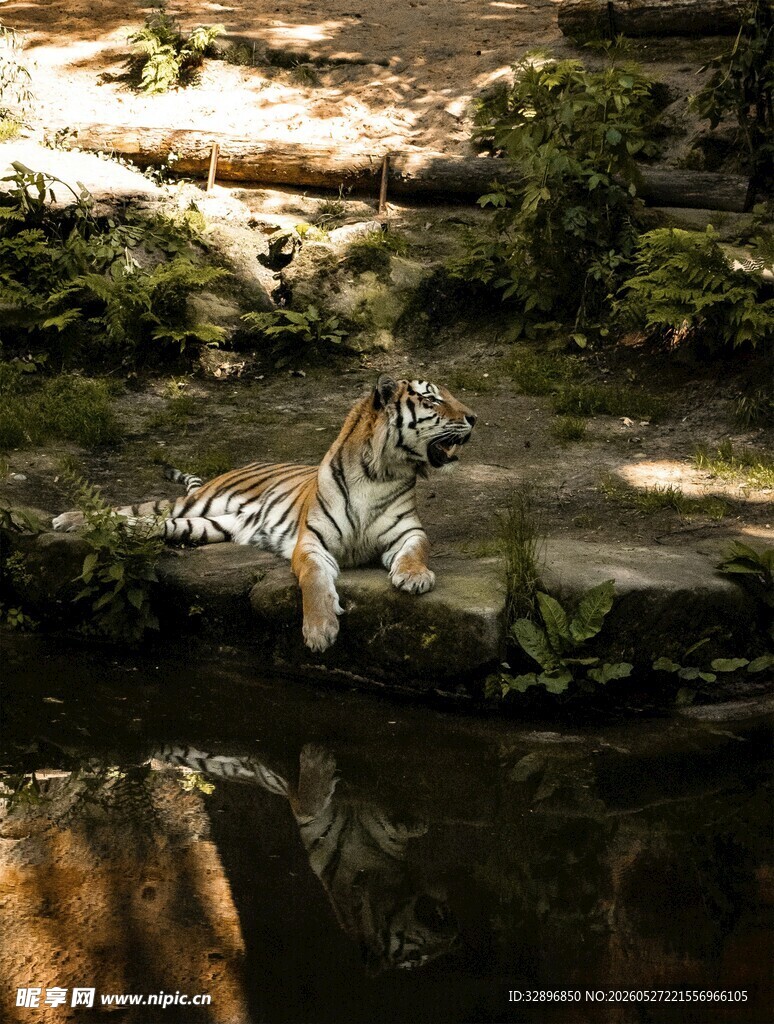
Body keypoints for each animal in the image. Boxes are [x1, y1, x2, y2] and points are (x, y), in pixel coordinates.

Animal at [52, 374, 476, 652]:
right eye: (432, 400)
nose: (473, 417)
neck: (379, 472)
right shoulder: (311, 543)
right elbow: (314, 582)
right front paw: (319, 630)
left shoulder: (408, 532)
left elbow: (416, 551)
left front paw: (415, 578)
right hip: (194, 504)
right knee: (133, 508)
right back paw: (69, 519)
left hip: (202, 526)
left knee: (146, 523)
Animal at [155, 742, 459, 972]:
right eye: (416, 958)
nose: (454, 935)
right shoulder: (305, 814)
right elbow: (308, 804)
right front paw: (318, 760)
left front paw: (412, 823)